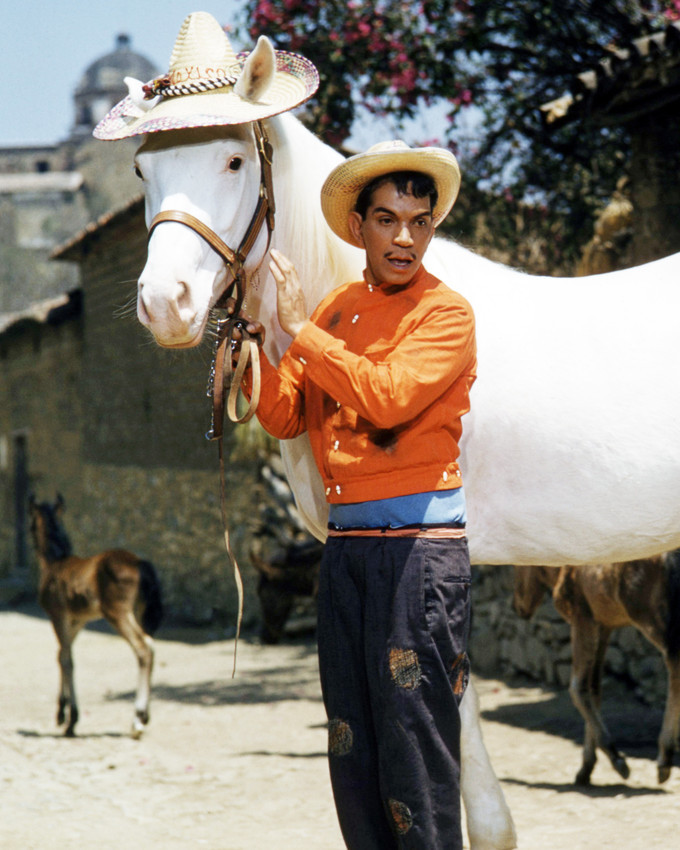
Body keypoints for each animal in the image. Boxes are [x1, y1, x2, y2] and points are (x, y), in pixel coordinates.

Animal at [29, 494, 163, 738]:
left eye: (32, 523)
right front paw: (62, 713)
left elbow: (67, 659)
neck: (55, 563)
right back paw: (144, 717)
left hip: (118, 613)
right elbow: (62, 654)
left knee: (143, 649)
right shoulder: (77, 621)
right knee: (150, 644)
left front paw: (70, 720)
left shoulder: (58, 616)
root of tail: (140, 564)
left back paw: (137, 720)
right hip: (136, 612)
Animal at [513, 557, 680, 785]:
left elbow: (577, 687)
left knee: (674, 664)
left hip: (649, 613)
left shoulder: (582, 616)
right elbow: (594, 689)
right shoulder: (604, 624)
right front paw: (586, 768)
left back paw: (665, 757)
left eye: (515, 565)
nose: (516, 606)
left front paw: (616, 759)